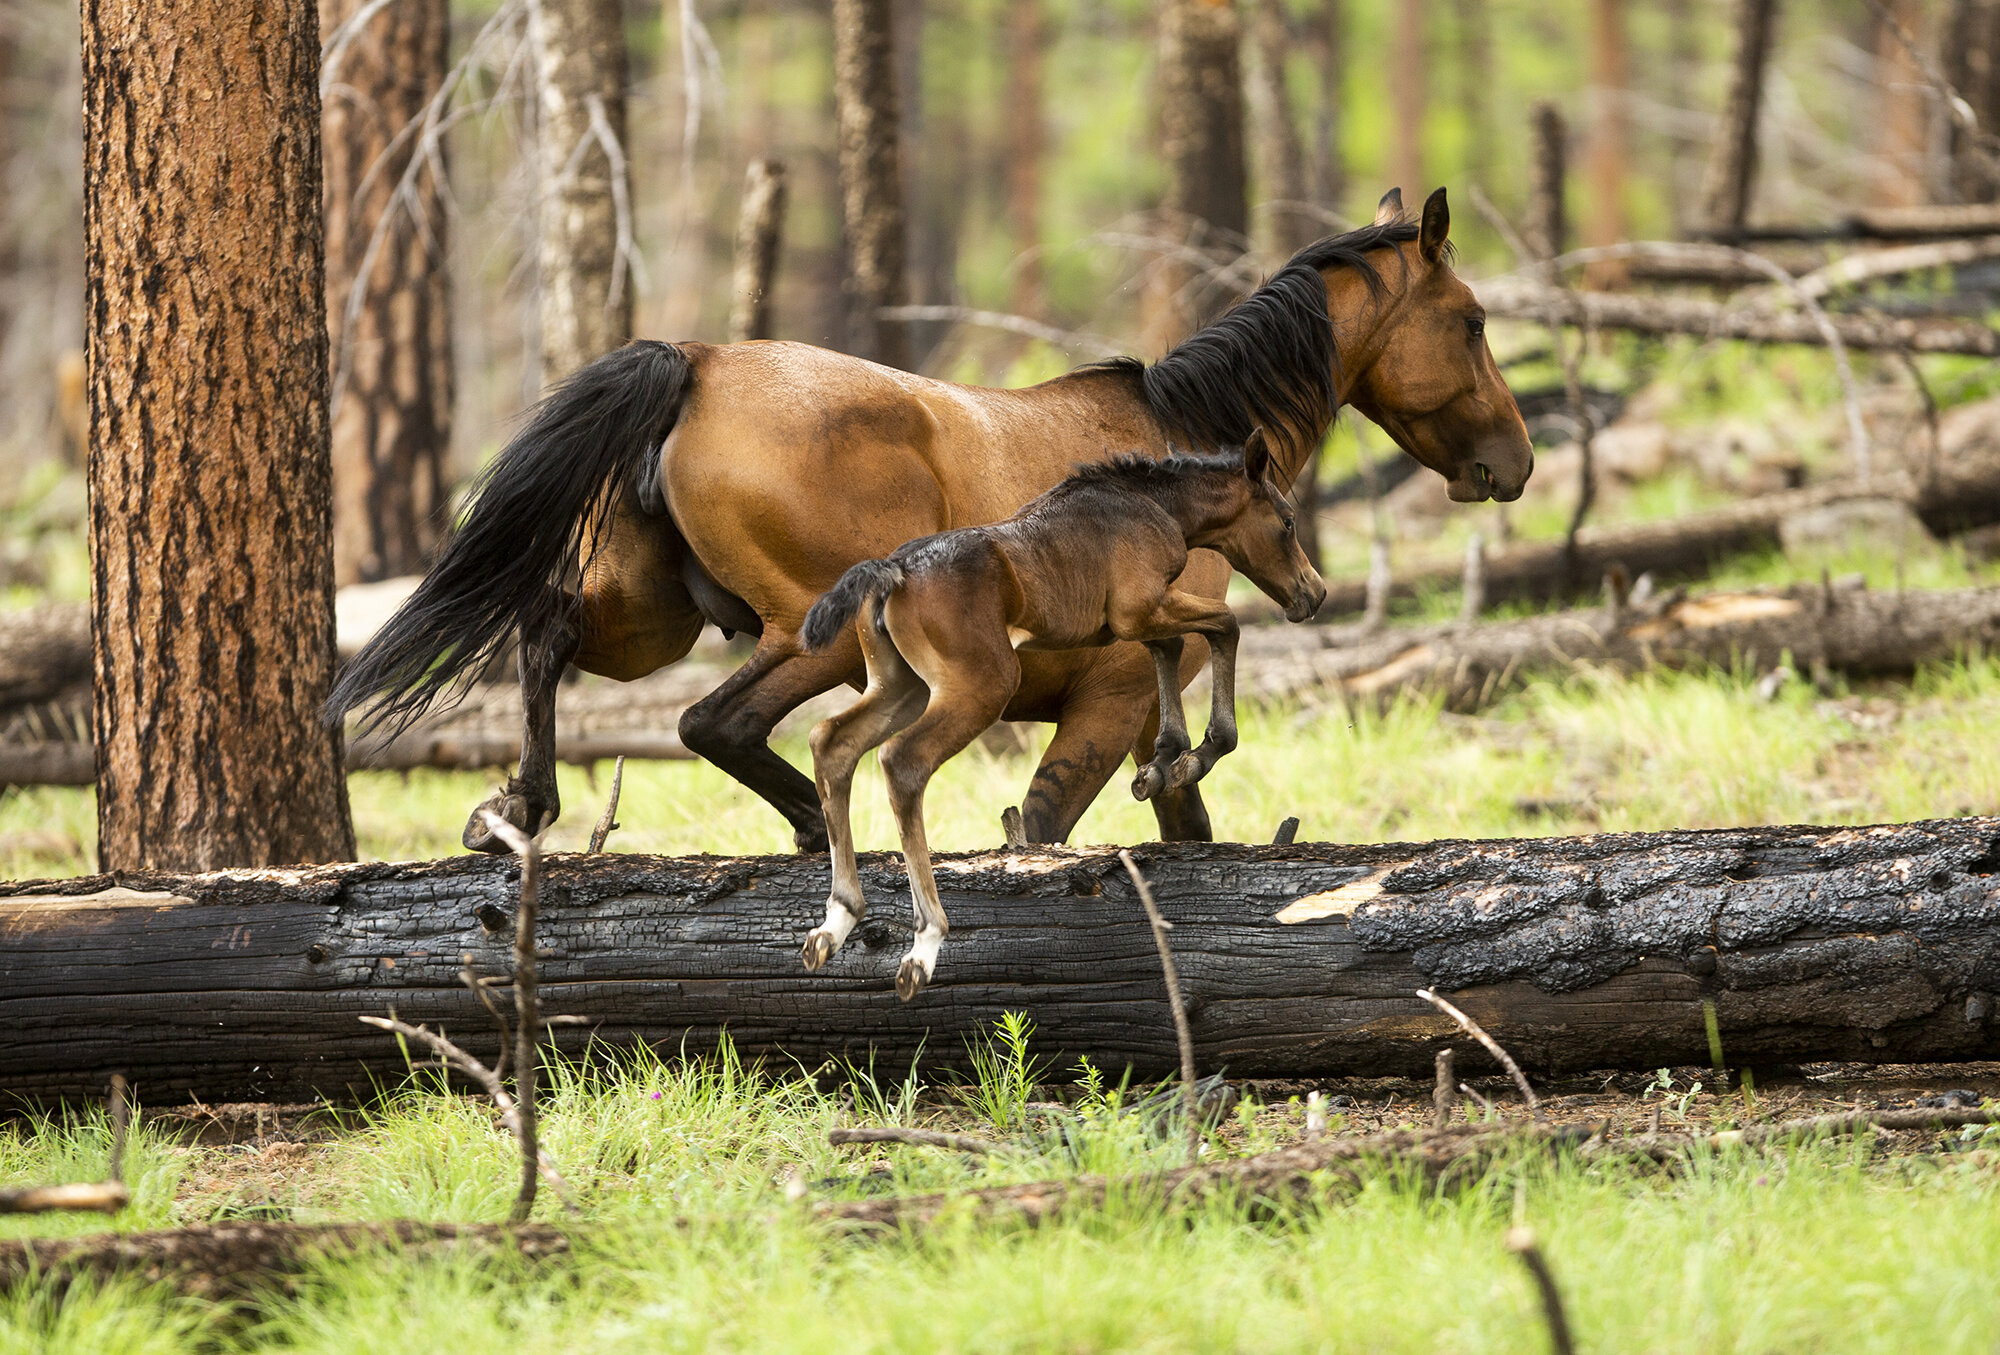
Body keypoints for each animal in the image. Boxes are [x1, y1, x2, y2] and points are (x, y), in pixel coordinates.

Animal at [328, 186, 1528, 855]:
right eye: (1472, 321)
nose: (1511, 463)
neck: (1178, 449)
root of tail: (698, 363)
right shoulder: (1105, 704)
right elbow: (1044, 826)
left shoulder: (1145, 708)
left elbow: (1185, 818)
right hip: (808, 636)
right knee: (715, 722)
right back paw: (811, 831)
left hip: (647, 622)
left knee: (546, 638)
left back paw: (519, 810)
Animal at [796, 431, 1328, 999]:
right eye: (1287, 520)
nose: (1313, 593)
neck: (1154, 503)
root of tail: (893, 571)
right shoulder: (1139, 608)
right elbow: (1224, 624)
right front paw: (1200, 752)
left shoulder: (1139, 619)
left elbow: (1168, 649)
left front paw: (1164, 763)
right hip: (980, 687)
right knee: (902, 762)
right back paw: (924, 944)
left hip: (901, 686)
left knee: (831, 742)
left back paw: (835, 922)